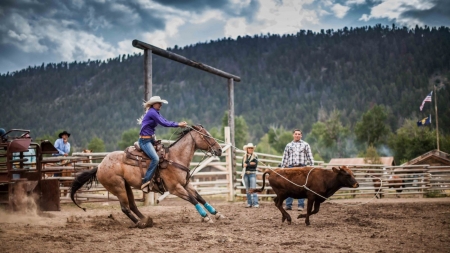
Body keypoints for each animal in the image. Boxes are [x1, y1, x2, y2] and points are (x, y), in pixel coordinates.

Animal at [70, 125, 223, 228]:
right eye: (206, 136)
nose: (220, 150)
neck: (175, 158)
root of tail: (100, 166)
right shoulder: (175, 188)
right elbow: (193, 199)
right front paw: (206, 217)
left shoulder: (186, 184)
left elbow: (200, 198)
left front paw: (217, 214)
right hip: (118, 187)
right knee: (125, 208)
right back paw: (140, 223)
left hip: (126, 186)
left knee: (132, 205)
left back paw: (146, 220)